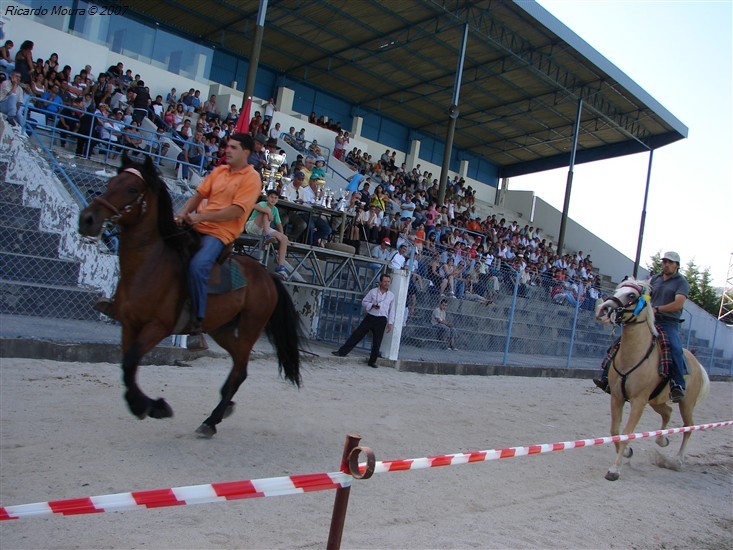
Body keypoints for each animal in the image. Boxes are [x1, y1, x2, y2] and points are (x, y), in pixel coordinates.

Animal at [77, 156, 300, 440]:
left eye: (132, 189)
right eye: (110, 183)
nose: (87, 219)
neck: (151, 264)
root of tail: (266, 275)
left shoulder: (157, 327)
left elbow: (129, 363)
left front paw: (153, 407)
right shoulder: (129, 324)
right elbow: (127, 366)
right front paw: (144, 405)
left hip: (250, 327)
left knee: (240, 370)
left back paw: (212, 420)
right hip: (221, 329)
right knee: (238, 366)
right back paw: (222, 408)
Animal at [596, 280, 708, 484]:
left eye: (632, 295)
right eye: (617, 289)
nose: (604, 308)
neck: (634, 354)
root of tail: (697, 363)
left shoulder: (638, 401)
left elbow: (626, 433)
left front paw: (614, 469)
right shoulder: (617, 397)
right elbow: (615, 431)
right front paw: (627, 453)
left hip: (686, 403)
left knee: (688, 427)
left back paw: (678, 460)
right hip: (656, 401)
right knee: (667, 413)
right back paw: (662, 441)